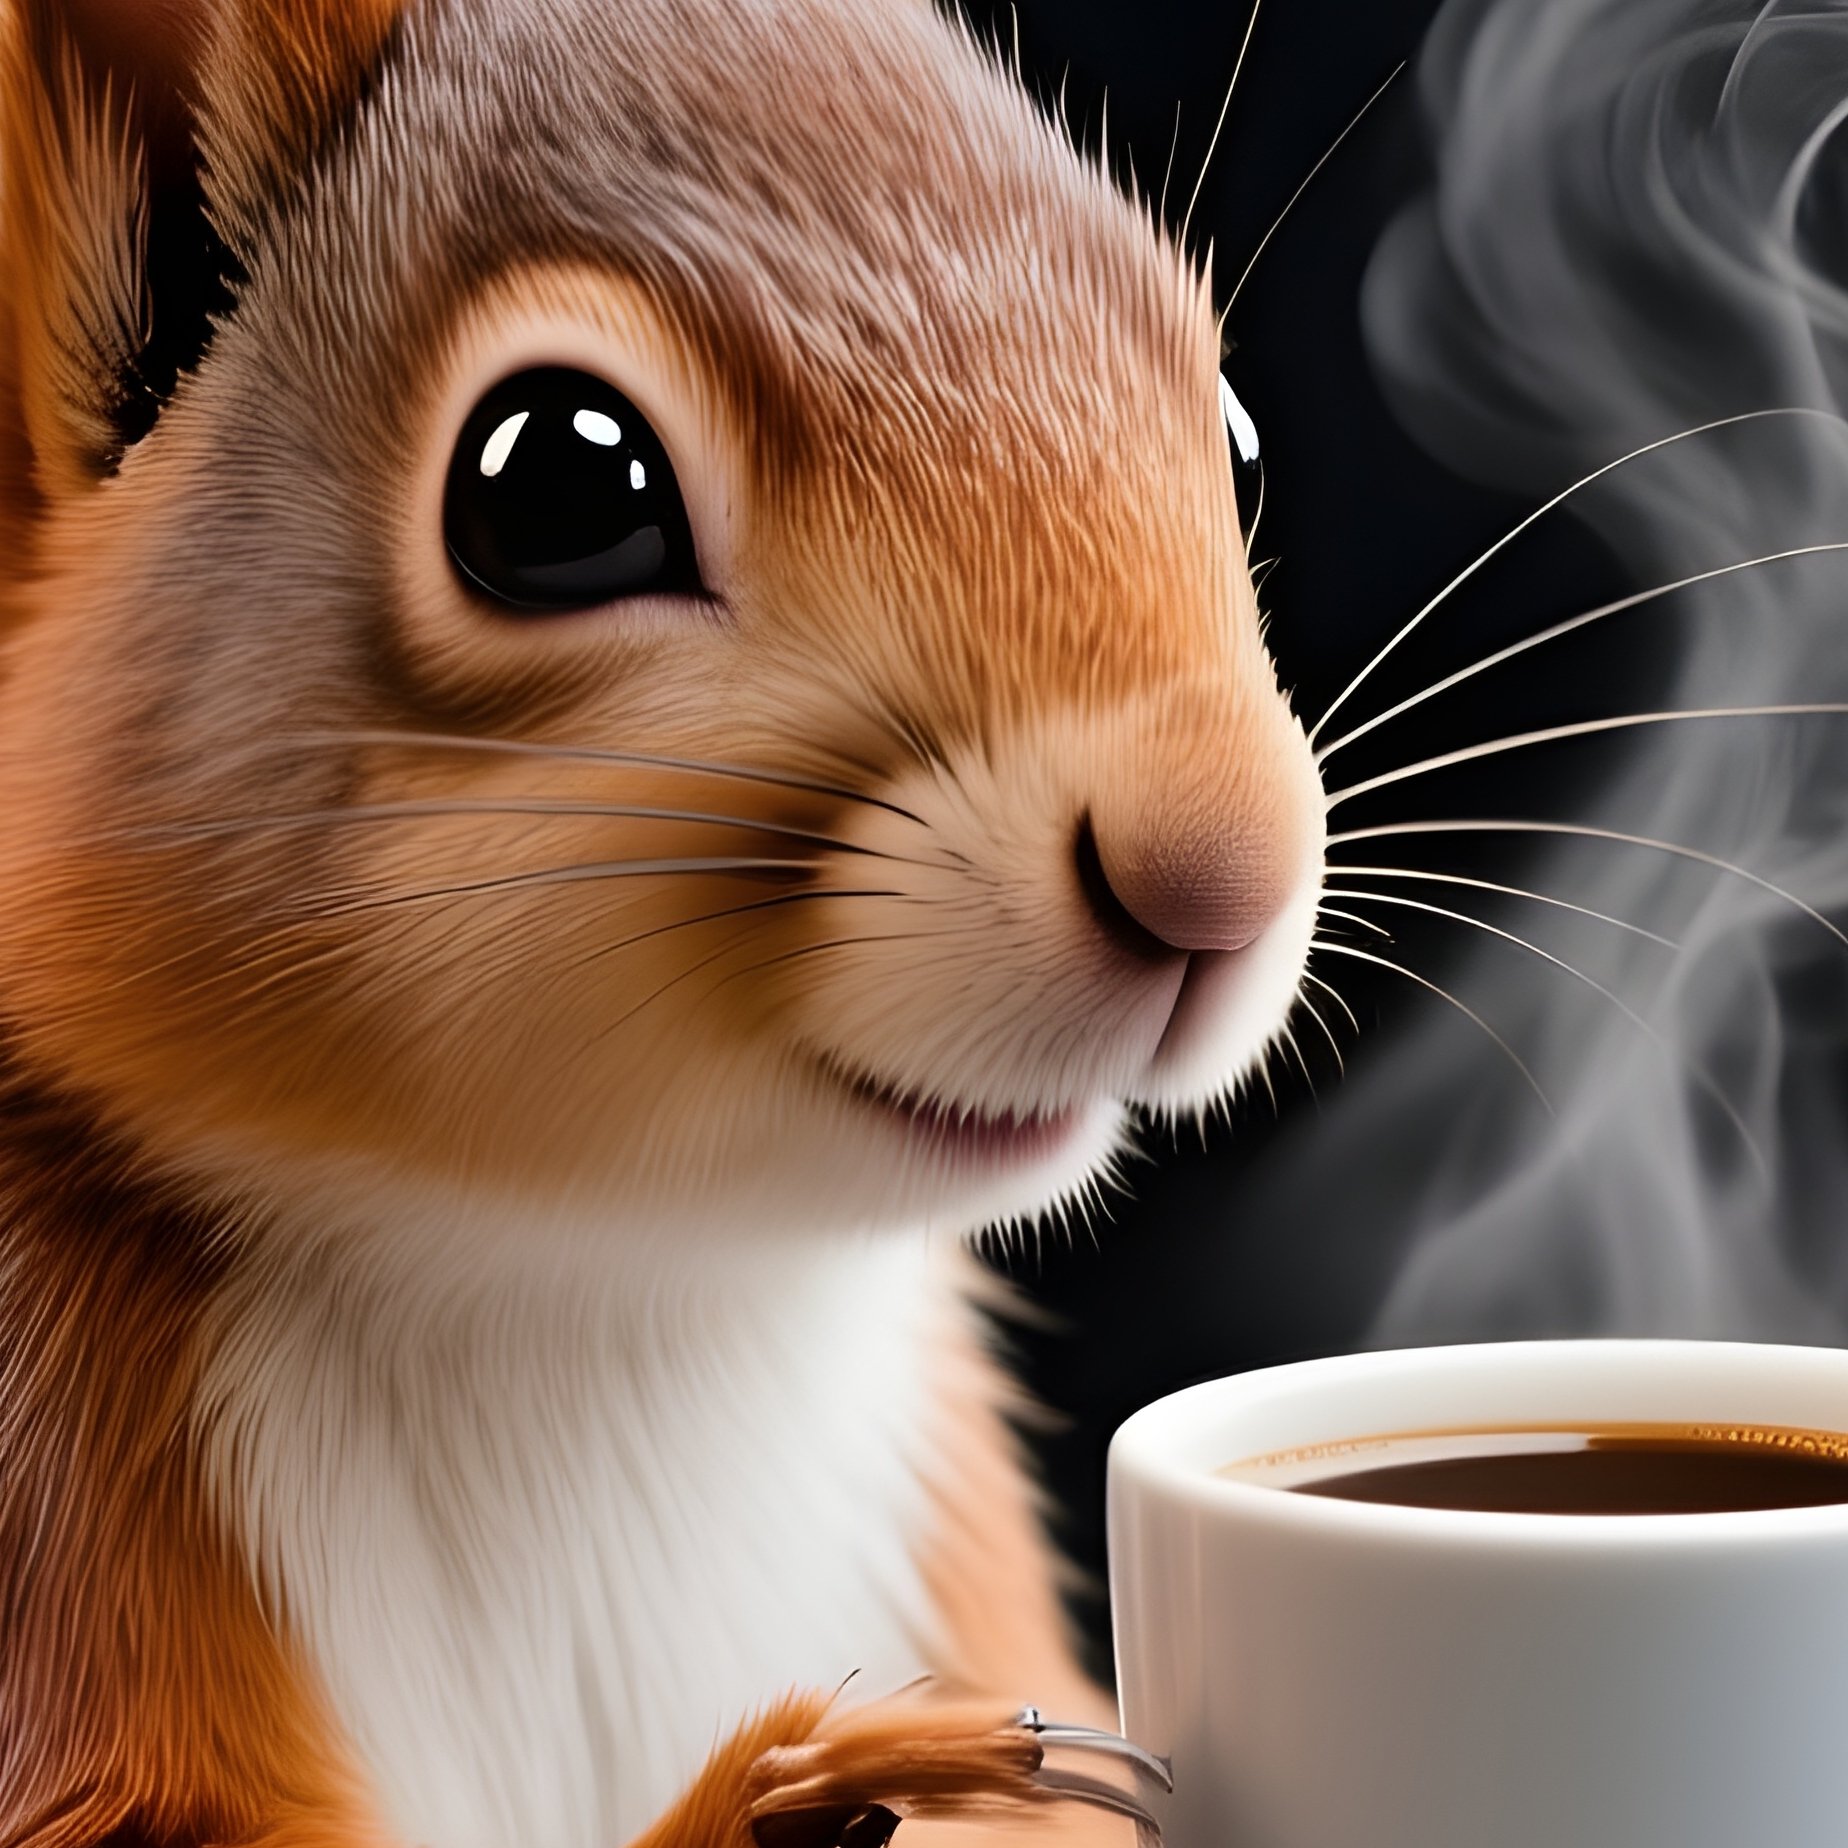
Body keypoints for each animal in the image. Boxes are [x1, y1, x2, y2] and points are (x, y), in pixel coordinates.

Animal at [0, 3, 1325, 1848]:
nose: (1221, 868)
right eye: (558, 482)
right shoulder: (59, 1515)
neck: (598, 1311)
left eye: (1239, 439)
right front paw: (835, 1781)